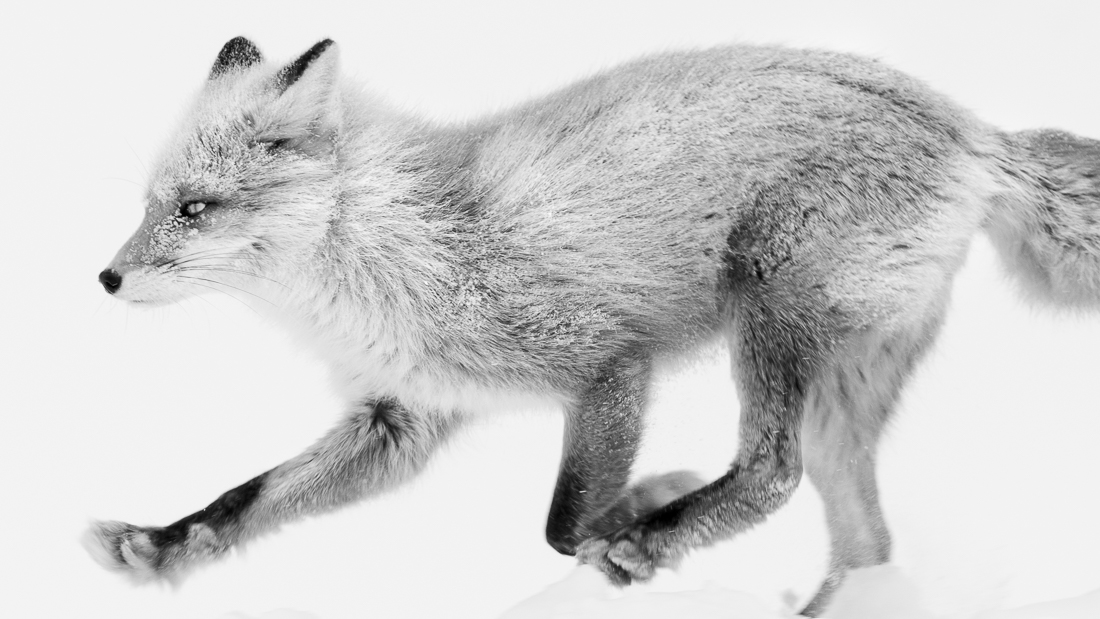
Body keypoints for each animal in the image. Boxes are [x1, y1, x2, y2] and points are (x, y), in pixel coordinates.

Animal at [86, 36, 1100, 616]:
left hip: (767, 315)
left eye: (194, 209)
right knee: (866, 546)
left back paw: (657, 539)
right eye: (151, 204)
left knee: (774, 472)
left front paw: (634, 519)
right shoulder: (399, 420)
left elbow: (562, 525)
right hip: (838, 396)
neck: (405, 248)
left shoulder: (606, 364)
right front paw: (165, 545)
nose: (105, 278)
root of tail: (978, 133)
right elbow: (249, 496)